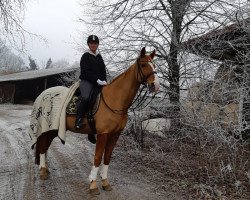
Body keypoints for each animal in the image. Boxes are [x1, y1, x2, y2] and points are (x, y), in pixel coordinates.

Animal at [35, 47, 159, 194]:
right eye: (144, 65)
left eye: (154, 65)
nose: (156, 85)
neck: (114, 99)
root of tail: (44, 94)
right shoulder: (102, 134)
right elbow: (98, 157)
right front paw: (93, 184)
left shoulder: (115, 134)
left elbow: (107, 157)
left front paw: (105, 182)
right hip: (47, 128)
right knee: (43, 145)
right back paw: (43, 171)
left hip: (53, 129)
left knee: (45, 146)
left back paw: (45, 169)